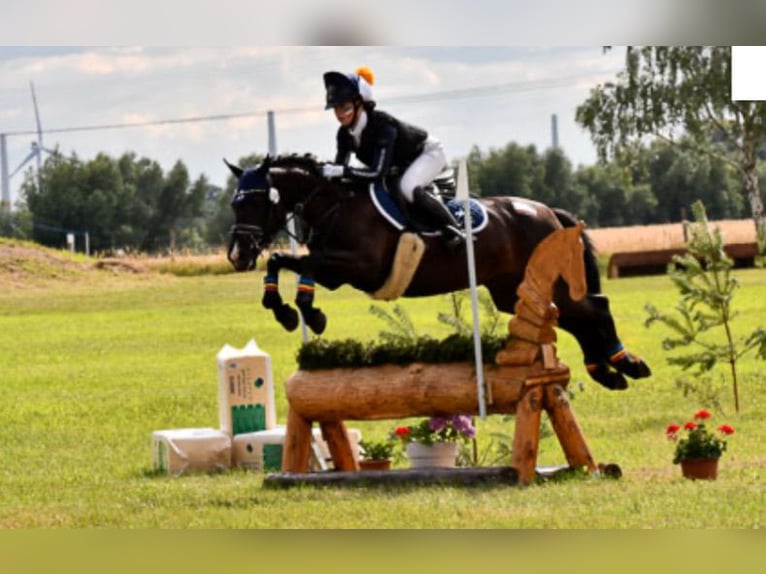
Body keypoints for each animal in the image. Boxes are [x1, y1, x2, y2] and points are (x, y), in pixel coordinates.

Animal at [225, 155, 652, 394]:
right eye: (234, 203)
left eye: (256, 201)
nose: (237, 255)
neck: (335, 205)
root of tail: (548, 212)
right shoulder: (335, 271)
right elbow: (280, 260)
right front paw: (285, 311)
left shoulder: (359, 267)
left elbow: (303, 266)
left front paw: (309, 313)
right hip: (510, 289)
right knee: (574, 316)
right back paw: (606, 371)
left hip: (542, 282)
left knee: (595, 307)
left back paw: (627, 364)